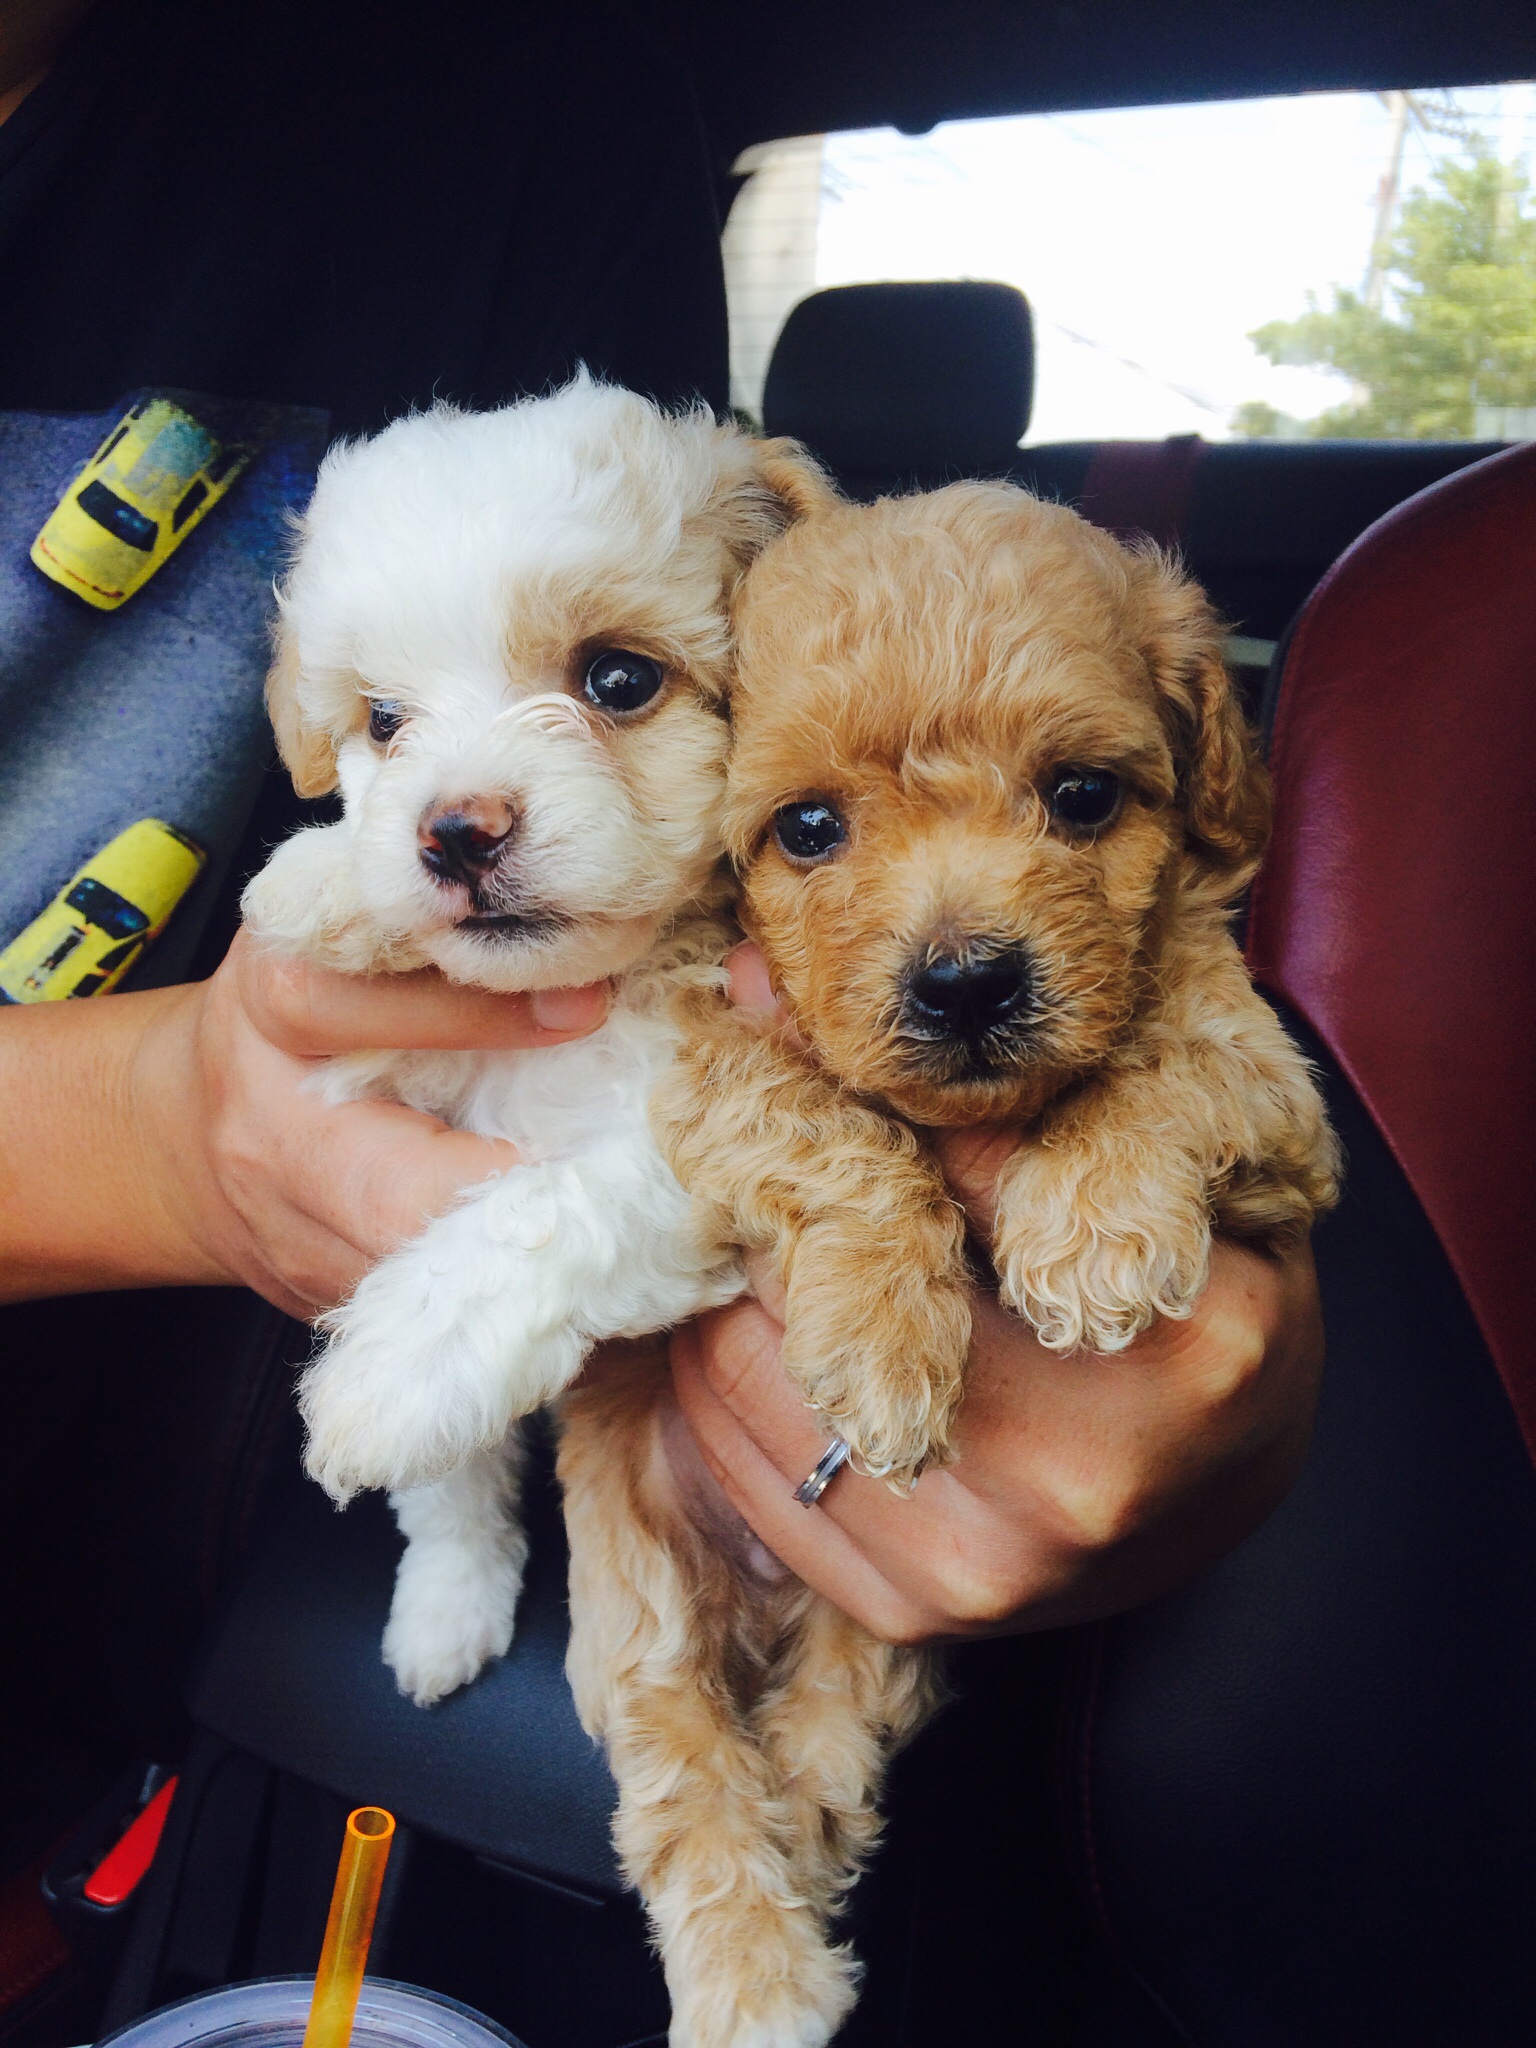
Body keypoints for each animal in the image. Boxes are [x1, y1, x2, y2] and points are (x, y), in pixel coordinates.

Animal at [241, 375, 817, 1708]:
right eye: (384, 721)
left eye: (617, 679)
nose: (455, 830)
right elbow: (450, 1488)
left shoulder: (718, 1139)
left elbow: (538, 1217)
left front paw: (392, 1372)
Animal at [557, 473, 1340, 2047]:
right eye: (806, 828)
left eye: (1085, 796)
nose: (968, 982)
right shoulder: (706, 1048)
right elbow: (827, 1123)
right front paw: (879, 1341)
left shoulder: (1279, 1104)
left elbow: (1164, 1061)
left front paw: (1092, 1229)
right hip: (637, 1595)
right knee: (683, 1768)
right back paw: (758, 1975)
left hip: (888, 1623)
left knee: (840, 1713)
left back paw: (808, 1815)